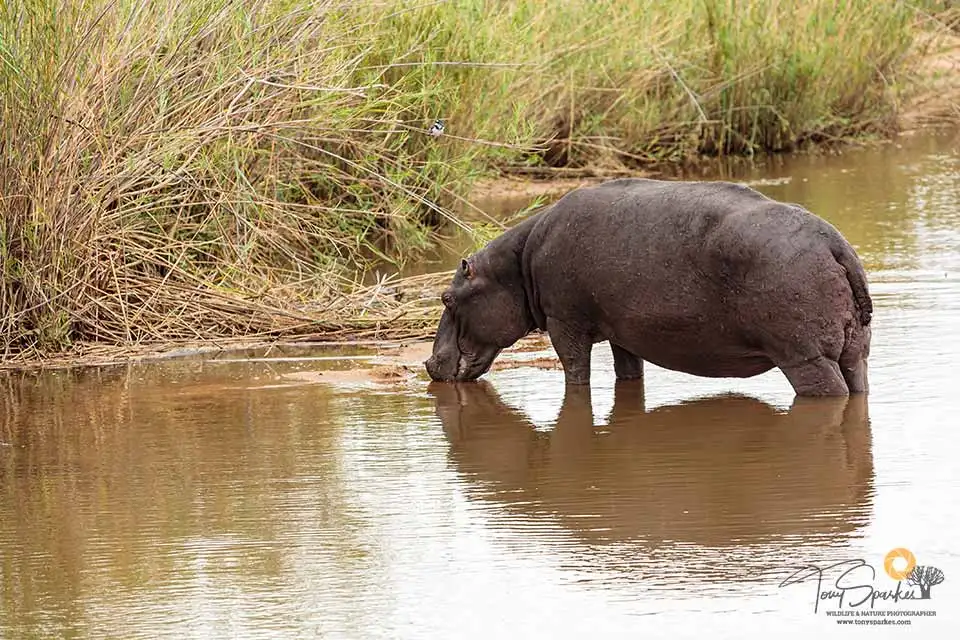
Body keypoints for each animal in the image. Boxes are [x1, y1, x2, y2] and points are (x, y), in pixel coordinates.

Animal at [423, 178, 873, 396]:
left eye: (447, 297)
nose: (428, 364)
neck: (514, 267)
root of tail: (834, 242)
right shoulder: (623, 331)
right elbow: (628, 371)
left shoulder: (564, 321)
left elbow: (575, 371)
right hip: (852, 352)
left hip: (804, 357)